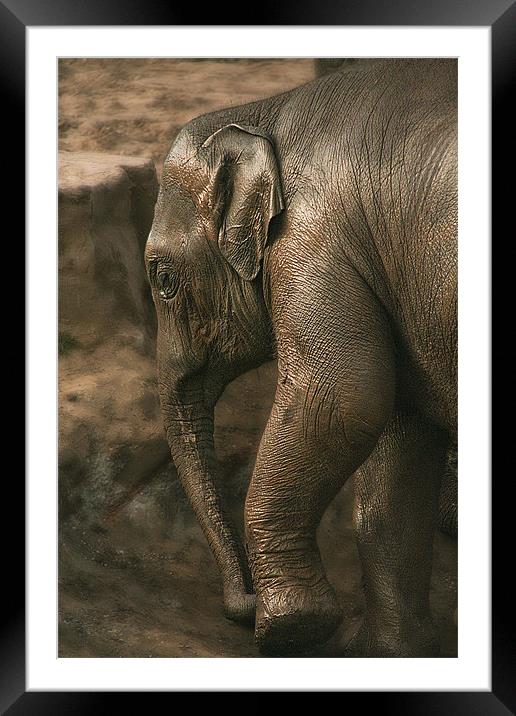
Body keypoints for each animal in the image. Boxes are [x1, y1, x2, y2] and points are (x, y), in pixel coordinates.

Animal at [144, 58, 456, 656]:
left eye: (164, 279)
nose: (241, 605)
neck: (264, 113)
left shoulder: (310, 239)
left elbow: (343, 396)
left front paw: (291, 628)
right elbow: (398, 435)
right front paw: (386, 652)